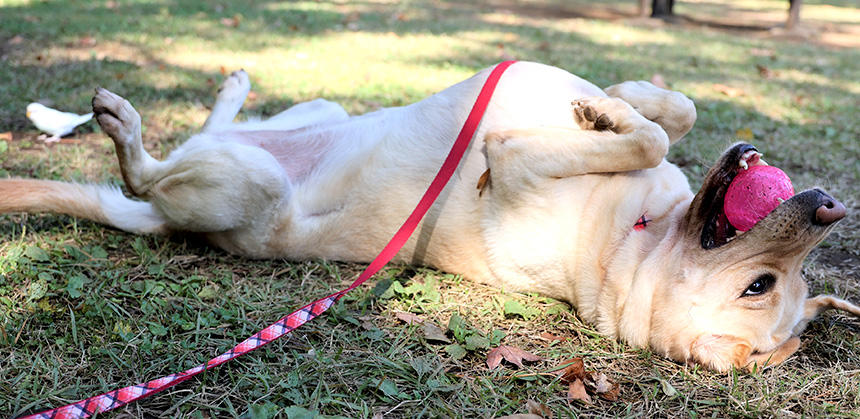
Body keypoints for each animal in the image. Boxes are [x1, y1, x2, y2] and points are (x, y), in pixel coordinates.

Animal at [3, 61, 856, 370]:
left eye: (762, 285)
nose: (828, 206)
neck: (635, 235)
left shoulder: (517, 162)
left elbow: (639, 133)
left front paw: (605, 116)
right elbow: (669, 114)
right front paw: (613, 103)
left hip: (242, 185)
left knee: (145, 171)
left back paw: (121, 123)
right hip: (315, 112)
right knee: (210, 130)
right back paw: (231, 87)